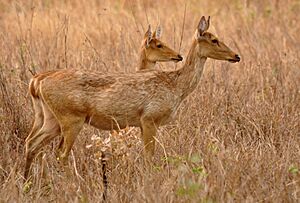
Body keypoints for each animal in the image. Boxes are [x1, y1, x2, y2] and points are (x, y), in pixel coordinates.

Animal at [23, 16, 240, 181]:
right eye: (214, 39)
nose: (236, 56)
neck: (176, 87)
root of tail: (37, 82)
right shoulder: (149, 118)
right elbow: (149, 156)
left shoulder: (142, 123)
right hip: (71, 118)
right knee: (61, 154)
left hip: (49, 117)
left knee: (31, 143)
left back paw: (26, 182)